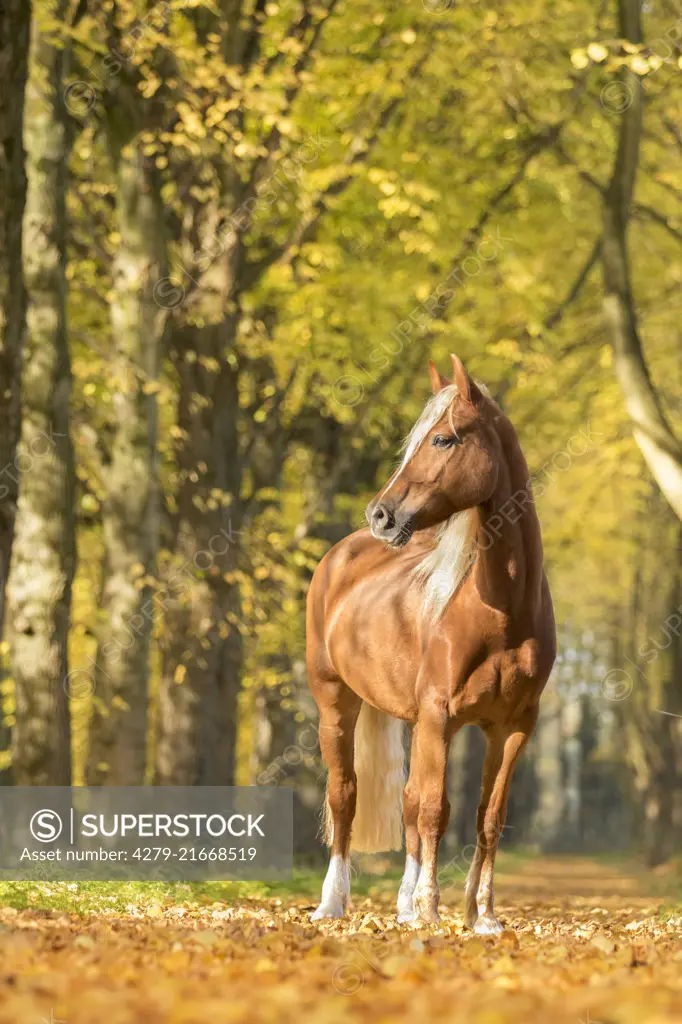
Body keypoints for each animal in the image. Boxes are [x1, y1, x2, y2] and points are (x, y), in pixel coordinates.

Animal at [305, 356, 557, 933]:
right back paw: (332, 903)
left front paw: (481, 915)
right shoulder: (441, 716)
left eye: (442, 439)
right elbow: (436, 810)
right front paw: (431, 907)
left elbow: (488, 816)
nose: (380, 515)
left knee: (406, 799)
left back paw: (400, 906)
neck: (502, 610)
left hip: (413, 721)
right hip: (336, 702)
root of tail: (341, 554)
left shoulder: (513, 726)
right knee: (345, 795)